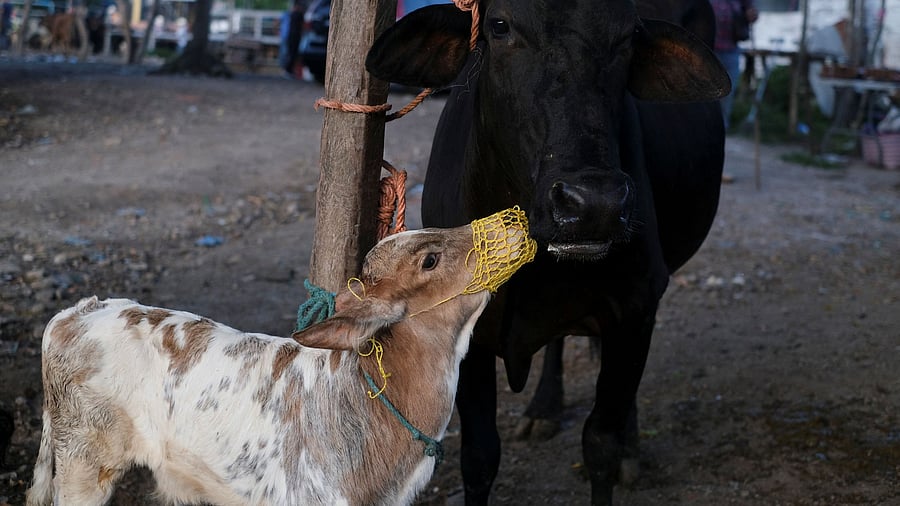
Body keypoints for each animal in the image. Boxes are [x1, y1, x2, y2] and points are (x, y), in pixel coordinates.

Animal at [365, 0, 729, 504]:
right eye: (499, 25)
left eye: (628, 35)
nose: (593, 204)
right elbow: (479, 456)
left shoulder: (636, 305)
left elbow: (601, 443)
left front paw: (620, 450)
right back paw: (543, 408)